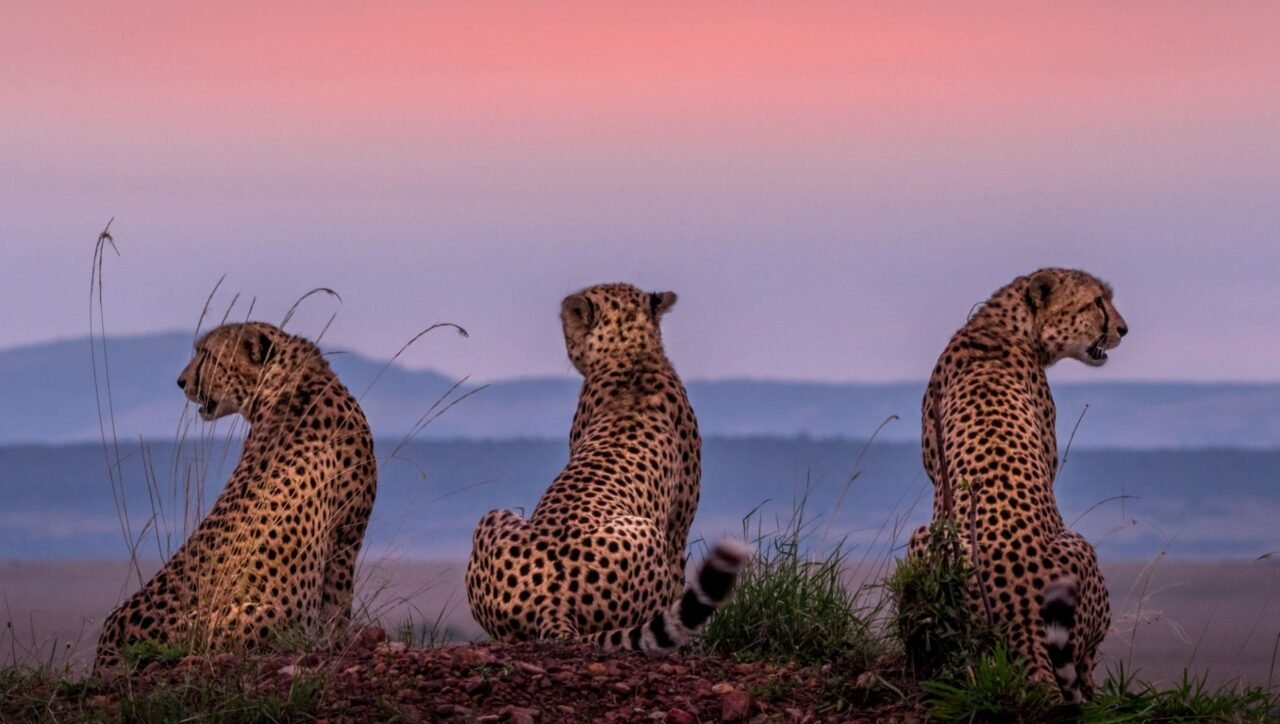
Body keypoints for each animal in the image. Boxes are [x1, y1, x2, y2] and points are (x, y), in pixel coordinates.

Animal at [95, 321, 376, 671]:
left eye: (208, 354)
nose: (181, 381)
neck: (287, 381)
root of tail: (109, 643)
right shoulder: (346, 538)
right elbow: (337, 607)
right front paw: (336, 643)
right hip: (267, 613)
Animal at [466, 283, 750, 651]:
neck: (632, 354)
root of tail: (552, 602)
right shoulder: (676, 528)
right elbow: (679, 580)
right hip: (646, 531)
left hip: (494, 517)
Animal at [908, 267, 1127, 703]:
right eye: (1097, 301)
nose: (1123, 329)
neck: (1001, 325)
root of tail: (1021, 608)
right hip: (1080, 547)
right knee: (1083, 665)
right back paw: (1098, 693)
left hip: (924, 539)